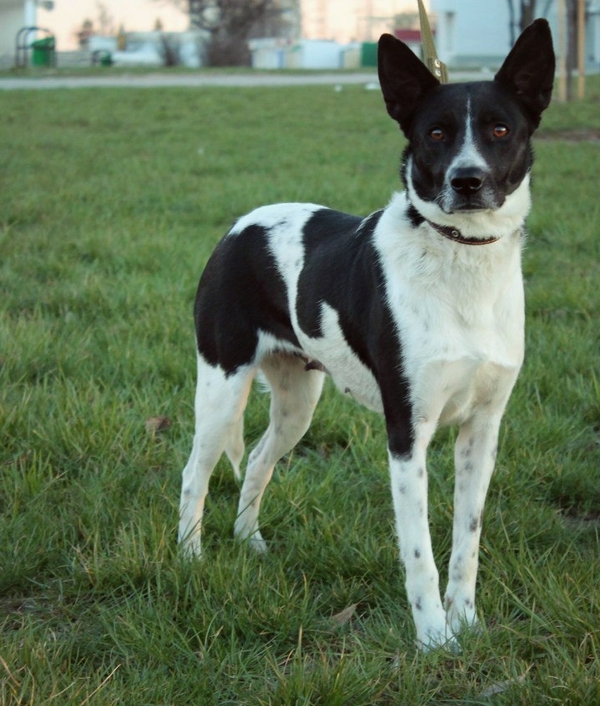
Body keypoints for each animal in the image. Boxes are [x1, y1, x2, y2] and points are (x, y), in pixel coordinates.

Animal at [177, 20, 552, 648]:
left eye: (501, 129)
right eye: (435, 133)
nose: (467, 181)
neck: (461, 255)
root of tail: (238, 227)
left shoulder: (483, 429)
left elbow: (467, 542)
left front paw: (467, 624)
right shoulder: (407, 433)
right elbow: (420, 551)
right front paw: (434, 641)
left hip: (298, 401)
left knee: (257, 460)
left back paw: (249, 542)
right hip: (222, 385)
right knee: (195, 472)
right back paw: (189, 559)